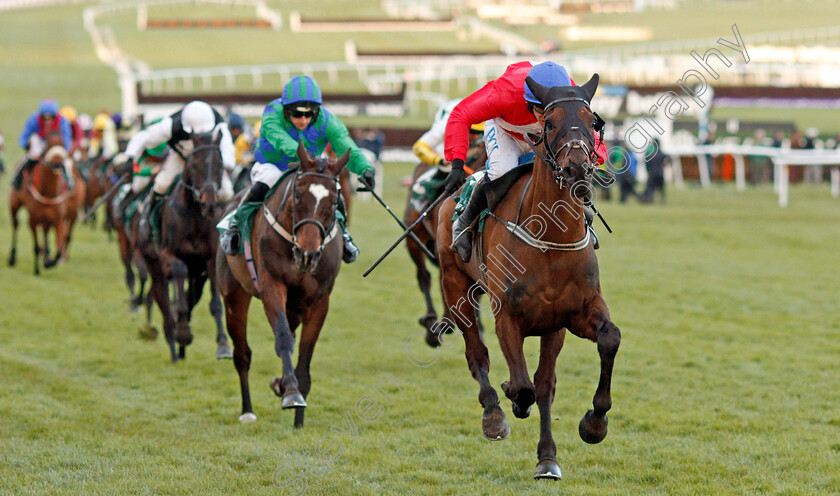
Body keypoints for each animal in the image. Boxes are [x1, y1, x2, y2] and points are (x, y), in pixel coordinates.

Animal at [218, 142, 350, 426]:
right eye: (298, 195)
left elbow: (305, 353)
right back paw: (247, 410)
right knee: (242, 353)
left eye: (335, 200)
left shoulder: (319, 301)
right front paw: (290, 392)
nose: (307, 254)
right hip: (234, 296)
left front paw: (298, 418)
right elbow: (283, 339)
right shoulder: (272, 286)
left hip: (296, 306)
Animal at [436, 74, 620, 480]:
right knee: (477, 354)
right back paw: (493, 413)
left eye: (592, 122)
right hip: (456, 288)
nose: (578, 167)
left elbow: (604, 343)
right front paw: (511, 400)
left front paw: (591, 426)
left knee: (541, 381)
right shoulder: (507, 315)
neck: (551, 240)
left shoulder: (570, 315)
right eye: (548, 123)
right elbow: (521, 386)